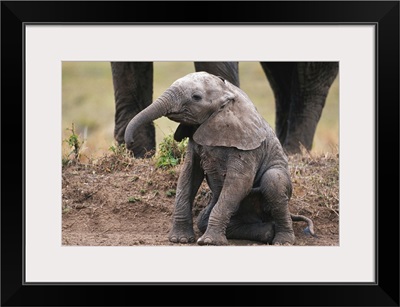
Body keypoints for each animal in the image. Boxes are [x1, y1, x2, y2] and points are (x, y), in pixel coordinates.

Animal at [124, 71, 312, 245]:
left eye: (196, 97)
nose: (129, 142)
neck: (227, 94)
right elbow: (188, 176)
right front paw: (180, 240)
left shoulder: (248, 145)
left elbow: (239, 183)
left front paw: (209, 242)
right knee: (204, 220)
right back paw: (267, 232)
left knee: (273, 180)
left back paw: (282, 241)